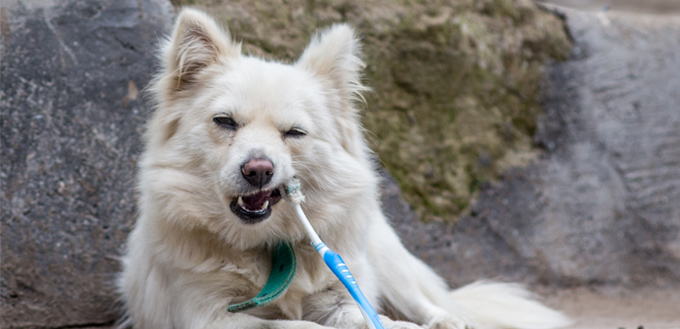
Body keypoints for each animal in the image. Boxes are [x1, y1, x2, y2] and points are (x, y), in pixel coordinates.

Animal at [119, 8, 572, 328]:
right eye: (225, 122)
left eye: (294, 132)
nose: (259, 170)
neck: (270, 243)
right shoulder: (210, 315)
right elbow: (294, 326)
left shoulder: (339, 294)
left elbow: (368, 315)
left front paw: (400, 326)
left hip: (384, 259)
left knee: (423, 301)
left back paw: (449, 321)